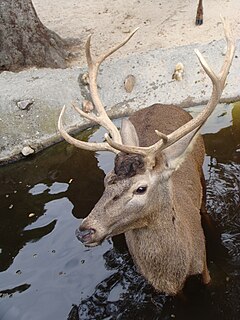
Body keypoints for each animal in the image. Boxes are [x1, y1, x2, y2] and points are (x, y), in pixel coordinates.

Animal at [58, 19, 234, 296]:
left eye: (141, 188)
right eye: (107, 181)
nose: (85, 231)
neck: (173, 276)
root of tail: (159, 103)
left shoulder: (204, 268)